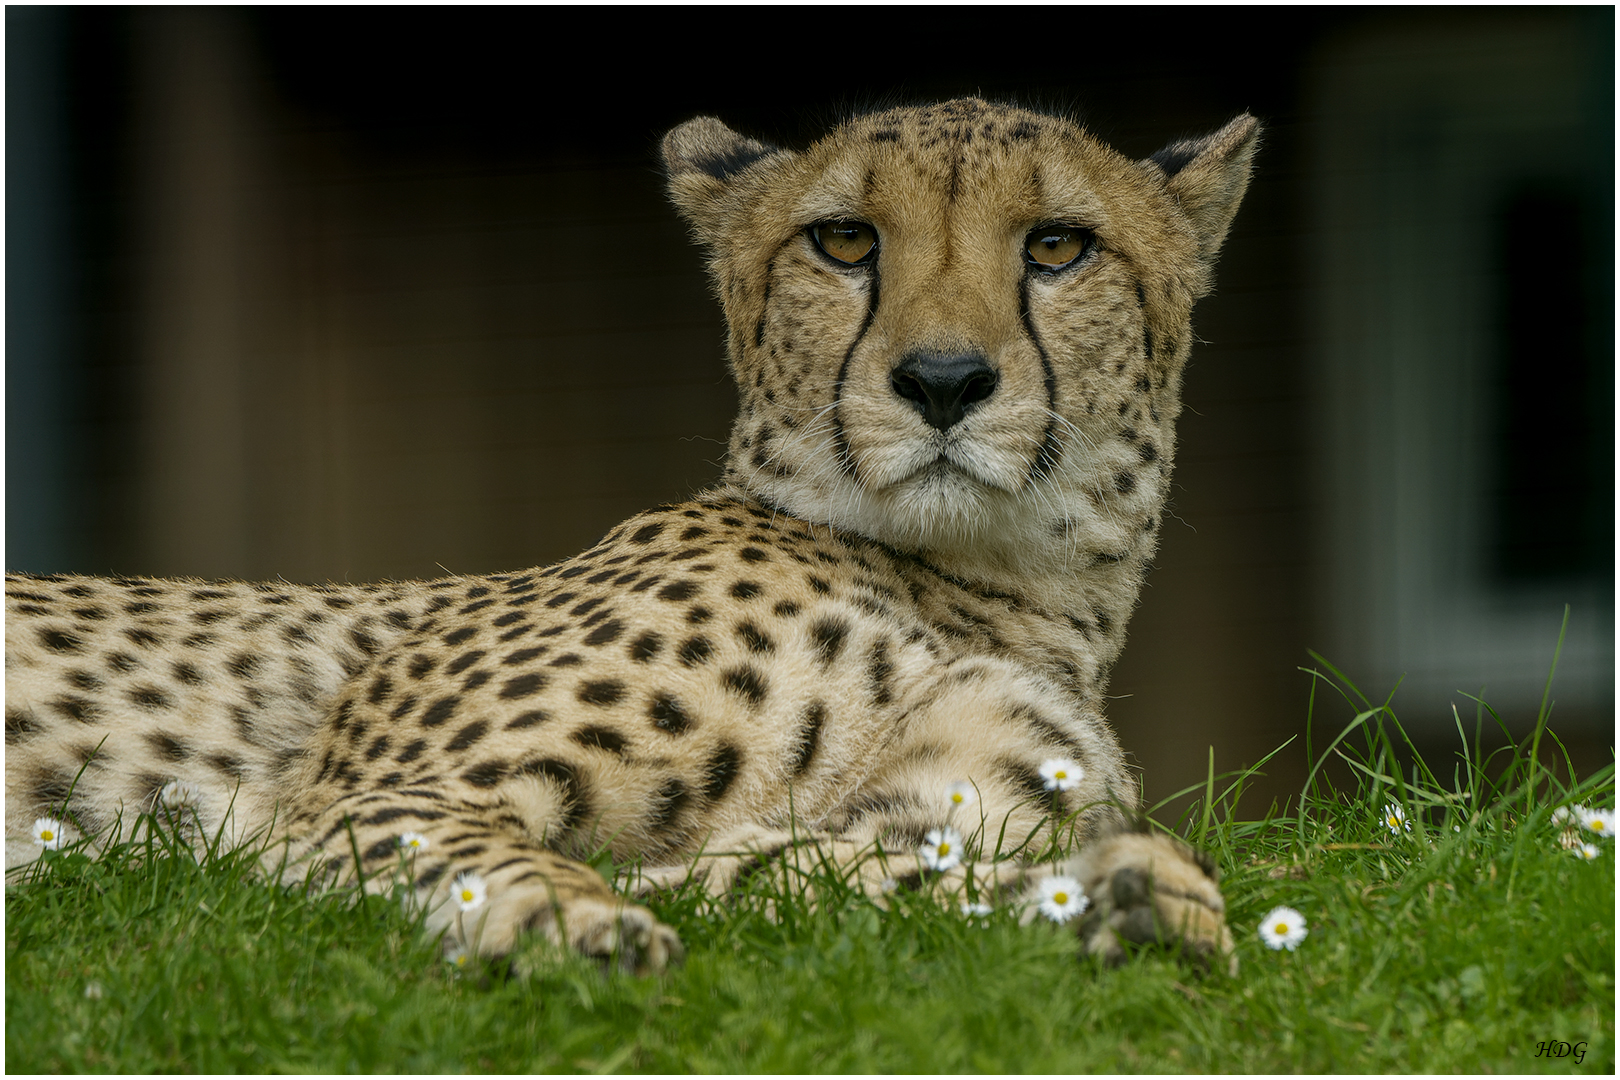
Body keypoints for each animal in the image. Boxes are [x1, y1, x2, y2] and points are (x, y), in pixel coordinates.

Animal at [6, 101, 1257, 977]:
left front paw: (1127, 904)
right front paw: (567, 925)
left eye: (1057, 248)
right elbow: (487, 857)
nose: (943, 382)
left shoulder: (861, 841)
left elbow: (855, 888)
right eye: (845, 240)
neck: (987, 590)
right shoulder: (340, 811)